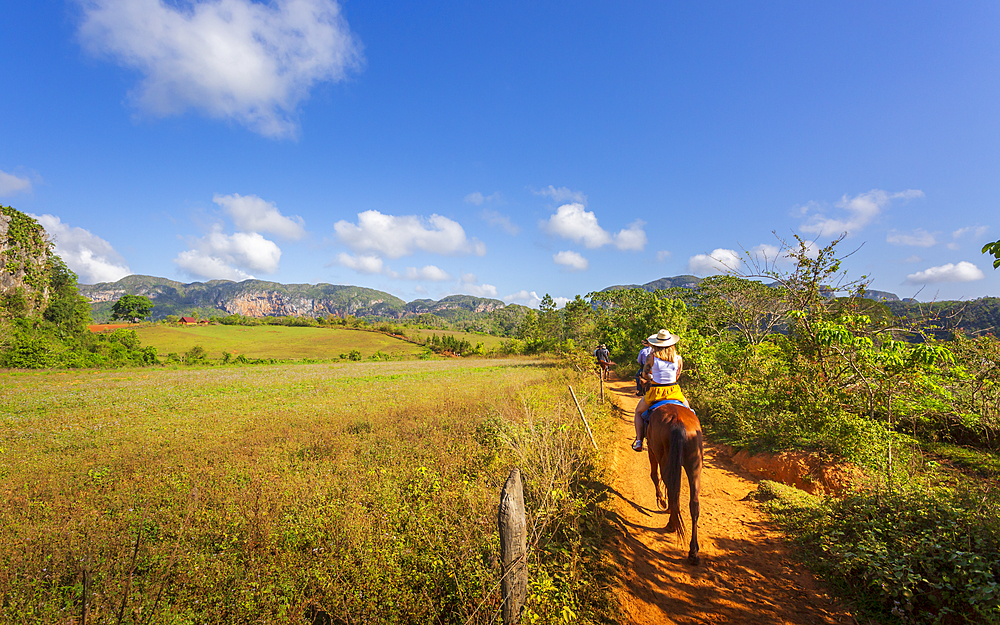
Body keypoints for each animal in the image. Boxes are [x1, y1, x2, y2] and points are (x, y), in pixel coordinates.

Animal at [648, 400, 704, 564]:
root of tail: (677, 420)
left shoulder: (651, 450)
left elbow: (654, 476)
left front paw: (662, 501)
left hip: (663, 455)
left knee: (671, 488)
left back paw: (671, 524)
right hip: (695, 465)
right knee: (694, 503)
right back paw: (693, 552)